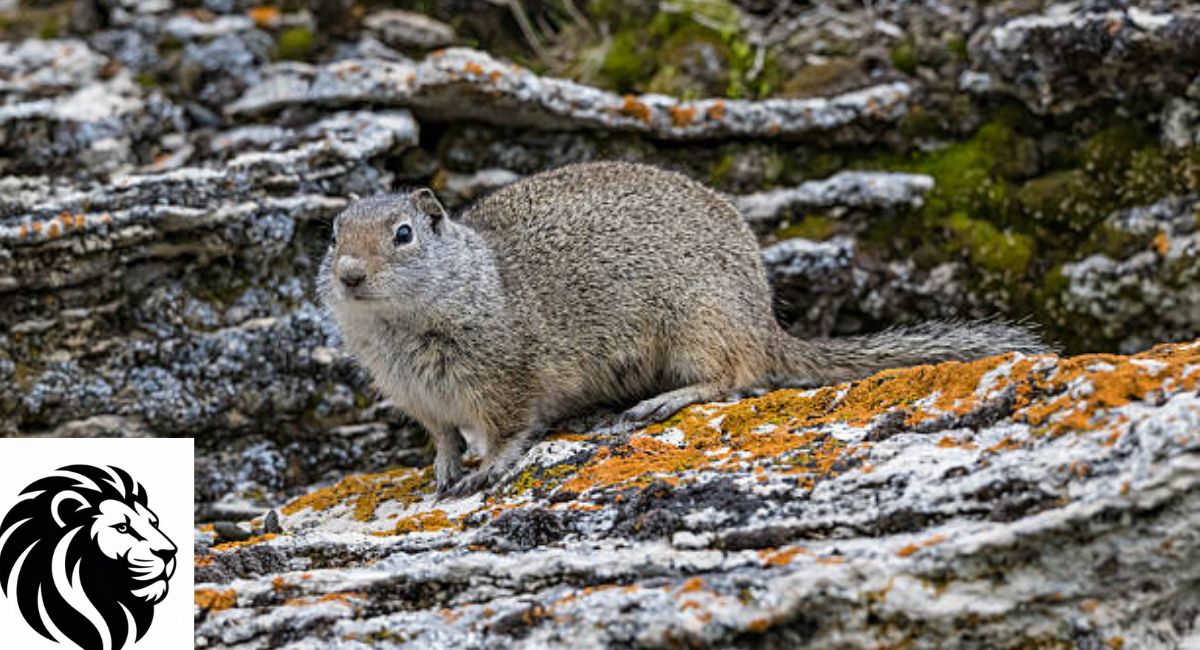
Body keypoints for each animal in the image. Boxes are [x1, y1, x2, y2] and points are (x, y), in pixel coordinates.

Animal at [318, 161, 1047, 497]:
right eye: (332, 235)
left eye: (404, 235)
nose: (348, 274)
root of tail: (765, 319)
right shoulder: (423, 401)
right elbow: (442, 437)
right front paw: (440, 472)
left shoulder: (508, 378)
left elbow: (508, 432)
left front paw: (484, 472)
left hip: (699, 328)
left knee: (735, 379)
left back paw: (664, 400)